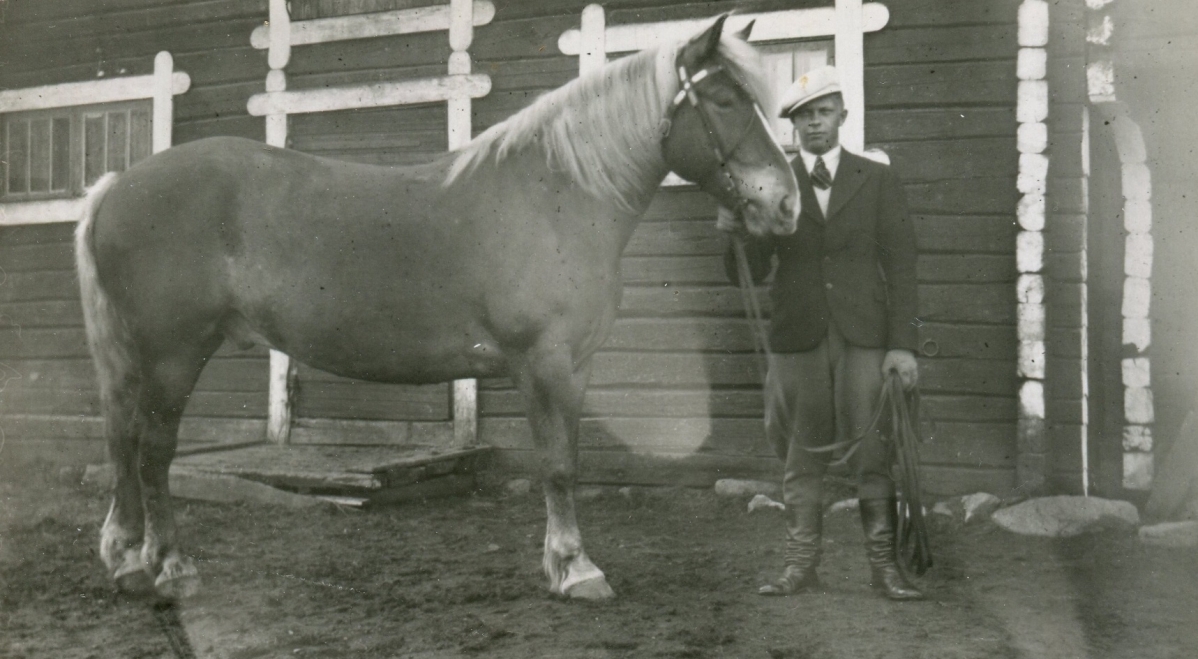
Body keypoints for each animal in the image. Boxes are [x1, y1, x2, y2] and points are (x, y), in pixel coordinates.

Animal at [75, 15, 798, 601]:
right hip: (174, 352)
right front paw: (577, 569)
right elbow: (557, 464)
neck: (558, 194)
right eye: (727, 100)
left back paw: (128, 561)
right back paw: (172, 567)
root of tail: (115, 186)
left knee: (122, 441)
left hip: (140, 356)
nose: (786, 202)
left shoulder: (575, 364)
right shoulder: (544, 361)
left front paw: (558, 563)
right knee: (152, 451)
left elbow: (565, 456)